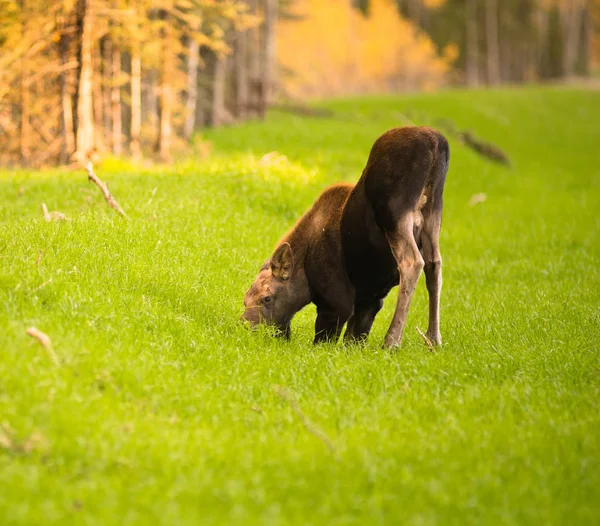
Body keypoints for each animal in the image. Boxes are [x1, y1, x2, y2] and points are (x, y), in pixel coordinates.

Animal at [241, 127, 448, 350]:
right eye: (245, 299)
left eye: (267, 298)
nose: (244, 326)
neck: (304, 275)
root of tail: (435, 144)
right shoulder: (369, 299)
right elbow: (355, 337)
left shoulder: (337, 302)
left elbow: (326, 336)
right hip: (434, 213)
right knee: (434, 263)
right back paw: (433, 339)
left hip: (395, 213)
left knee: (412, 261)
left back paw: (392, 341)